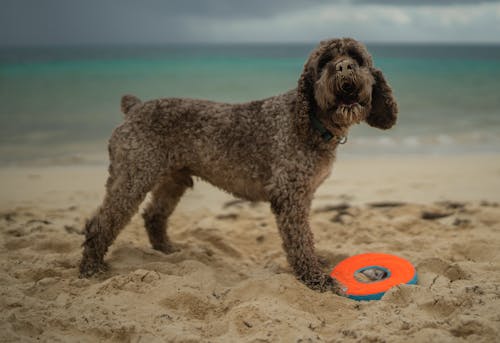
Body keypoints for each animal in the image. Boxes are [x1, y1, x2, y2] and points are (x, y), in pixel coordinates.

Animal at [79, 38, 398, 296]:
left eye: (357, 58)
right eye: (324, 63)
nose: (344, 67)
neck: (309, 121)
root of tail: (135, 108)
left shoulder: (304, 195)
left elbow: (306, 237)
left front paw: (317, 264)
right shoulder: (290, 195)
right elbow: (299, 240)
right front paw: (315, 278)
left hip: (172, 180)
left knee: (153, 215)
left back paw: (167, 251)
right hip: (133, 178)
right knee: (100, 223)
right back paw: (91, 268)